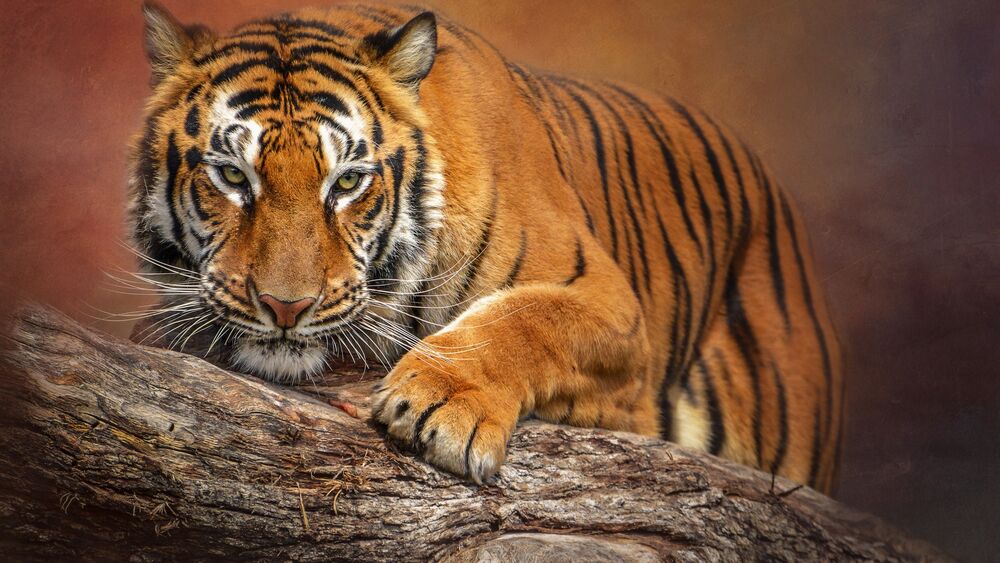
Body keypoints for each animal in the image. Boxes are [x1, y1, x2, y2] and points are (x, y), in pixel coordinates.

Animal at [129, 1, 843, 493]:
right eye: (232, 175)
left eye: (348, 182)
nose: (286, 308)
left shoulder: (610, 305)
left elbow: (524, 318)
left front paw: (443, 407)